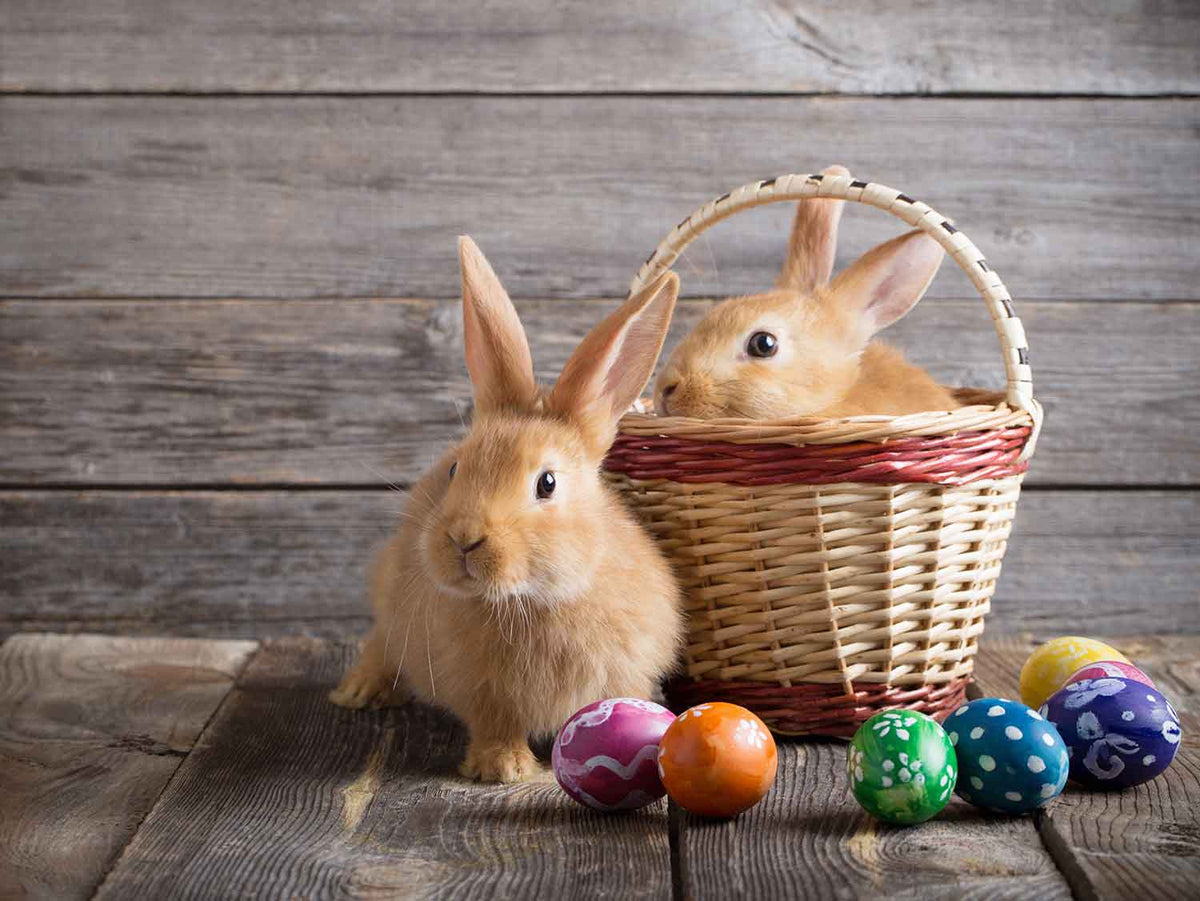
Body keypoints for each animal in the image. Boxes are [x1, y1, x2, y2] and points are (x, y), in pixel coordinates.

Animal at [328, 237, 686, 782]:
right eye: (456, 469)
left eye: (547, 483)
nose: (464, 540)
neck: (533, 599)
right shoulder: (482, 691)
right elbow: (495, 723)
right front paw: (503, 769)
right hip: (390, 600)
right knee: (380, 641)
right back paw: (357, 691)